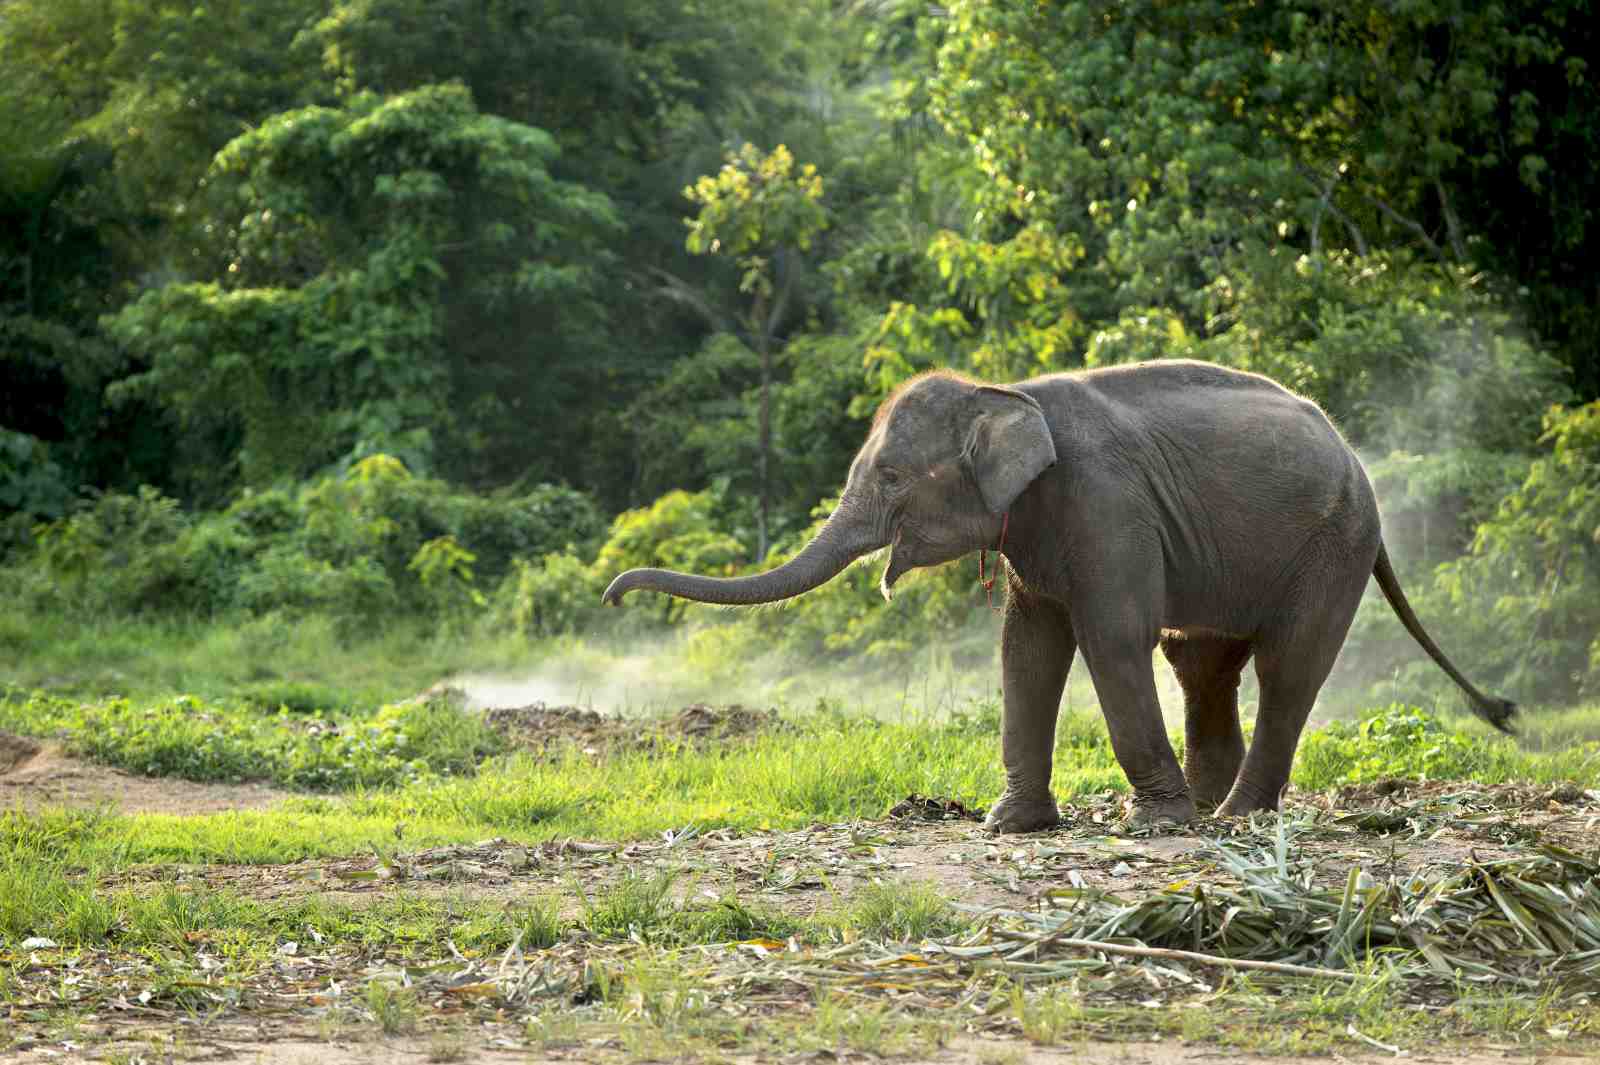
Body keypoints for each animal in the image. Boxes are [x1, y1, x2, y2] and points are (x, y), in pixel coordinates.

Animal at [603, 360, 1516, 832]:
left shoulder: (1105, 504)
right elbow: (1028, 647)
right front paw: (1010, 824)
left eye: (890, 476)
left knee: (1287, 669)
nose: (612, 595)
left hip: (1334, 546)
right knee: (1201, 663)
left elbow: (1110, 637)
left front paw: (1153, 827)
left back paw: (1229, 817)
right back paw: (1209, 804)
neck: (1006, 390)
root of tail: (1357, 457)